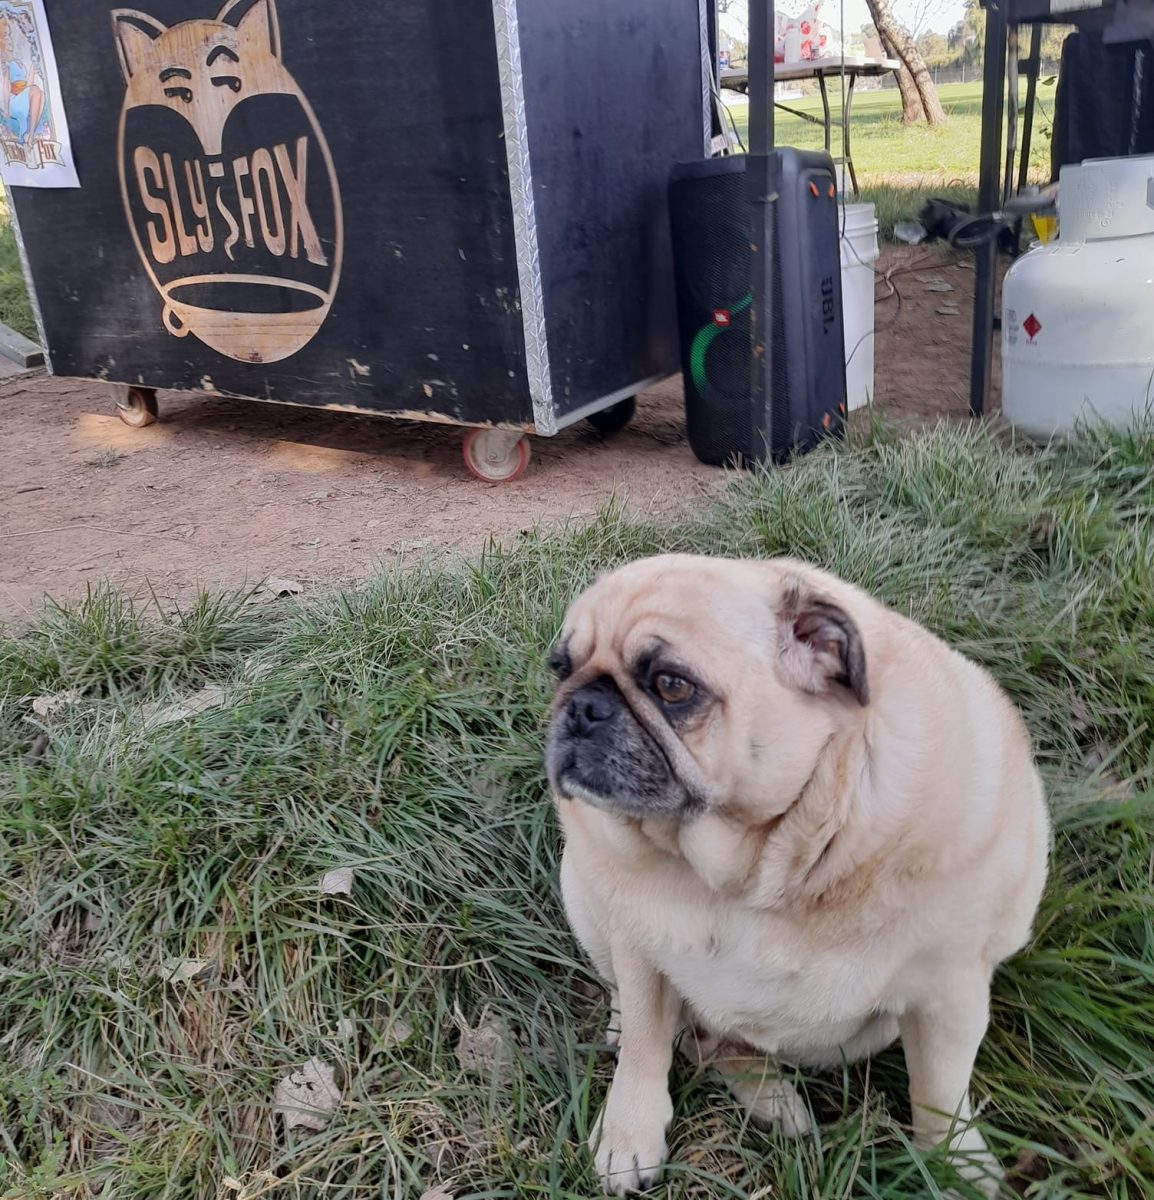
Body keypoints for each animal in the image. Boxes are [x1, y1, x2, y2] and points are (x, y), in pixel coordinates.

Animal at [544, 552, 1046, 1190]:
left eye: (672, 686)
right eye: (561, 668)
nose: (581, 705)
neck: (756, 869)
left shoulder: (948, 995)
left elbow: (940, 1094)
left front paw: (957, 1167)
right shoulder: (638, 949)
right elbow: (644, 1047)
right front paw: (628, 1135)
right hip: (582, 896)